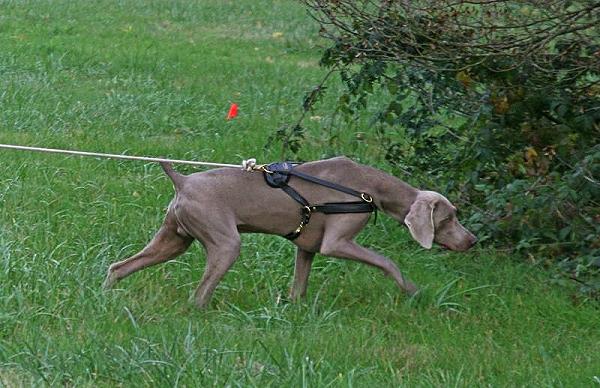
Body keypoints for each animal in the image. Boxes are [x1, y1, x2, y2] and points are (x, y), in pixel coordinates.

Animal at [104, 156, 478, 308]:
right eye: (450, 218)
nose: (472, 241)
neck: (368, 187)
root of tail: (182, 180)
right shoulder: (335, 243)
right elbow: (388, 263)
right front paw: (412, 291)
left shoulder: (307, 247)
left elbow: (299, 284)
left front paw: (294, 308)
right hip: (226, 243)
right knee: (199, 295)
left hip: (174, 238)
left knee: (119, 266)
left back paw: (106, 295)